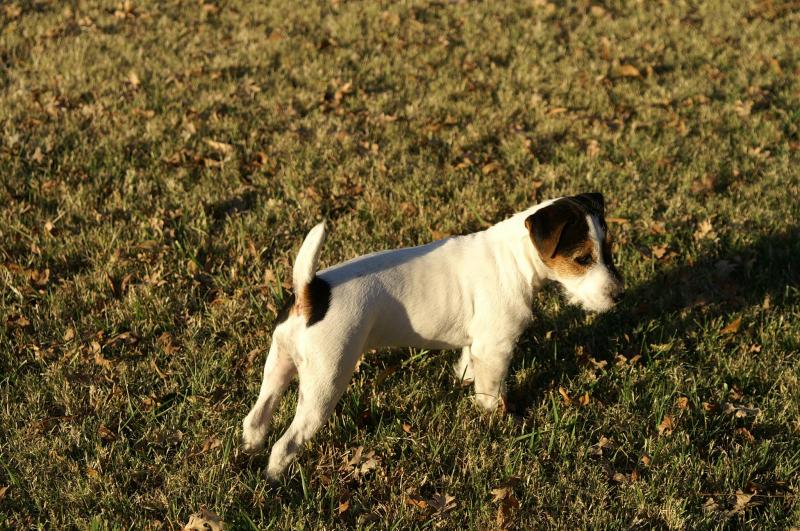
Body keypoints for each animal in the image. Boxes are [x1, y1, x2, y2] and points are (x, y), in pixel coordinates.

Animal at [242, 193, 624, 480]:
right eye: (582, 258)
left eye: (608, 251)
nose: (618, 295)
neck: (515, 258)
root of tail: (312, 291)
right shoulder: (496, 348)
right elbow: (491, 392)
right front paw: (499, 420)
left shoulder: (478, 344)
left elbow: (469, 366)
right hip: (325, 383)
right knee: (286, 443)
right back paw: (275, 478)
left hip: (278, 364)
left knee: (256, 418)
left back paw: (248, 451)